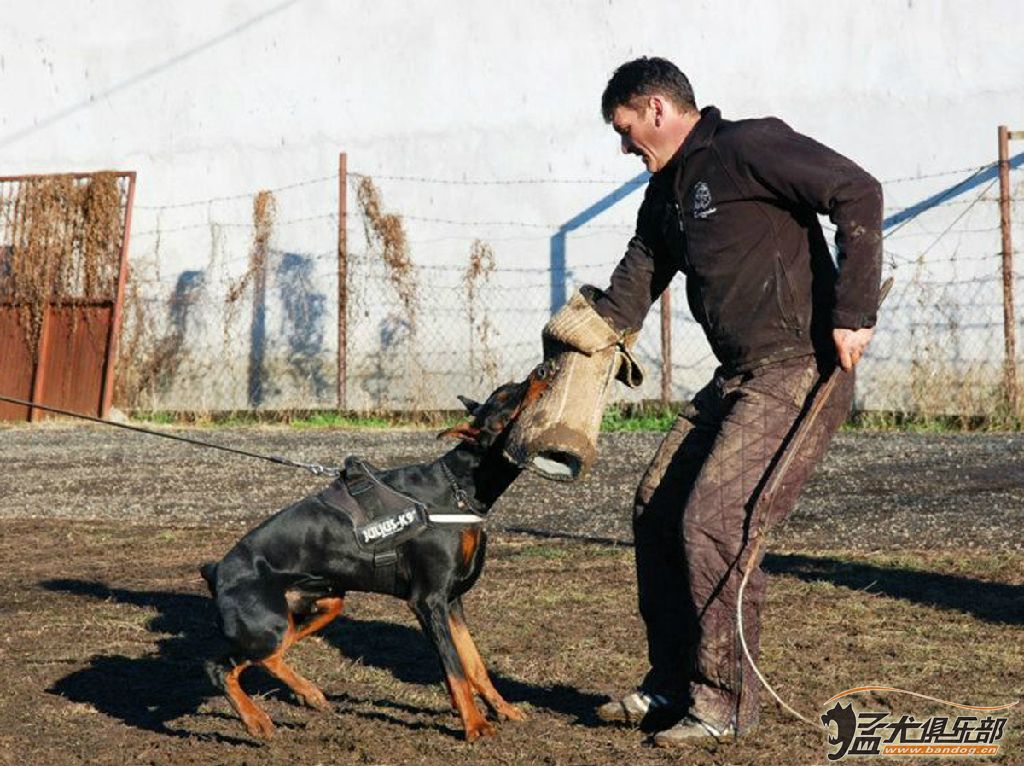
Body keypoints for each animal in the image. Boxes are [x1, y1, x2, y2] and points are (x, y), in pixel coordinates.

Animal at [201, 370, 552, 741]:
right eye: (507, 398)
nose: (542, 370)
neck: (457, 489)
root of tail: (217, 570)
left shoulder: (452, 600)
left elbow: (475, 664)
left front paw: (504, 710)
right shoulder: (428, 601)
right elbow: (455, 669)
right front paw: (475, 726)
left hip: (321, 604)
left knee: (259, 658)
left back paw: (307, 695)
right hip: (269, 625)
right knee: (222, 665)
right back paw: (259, 719)